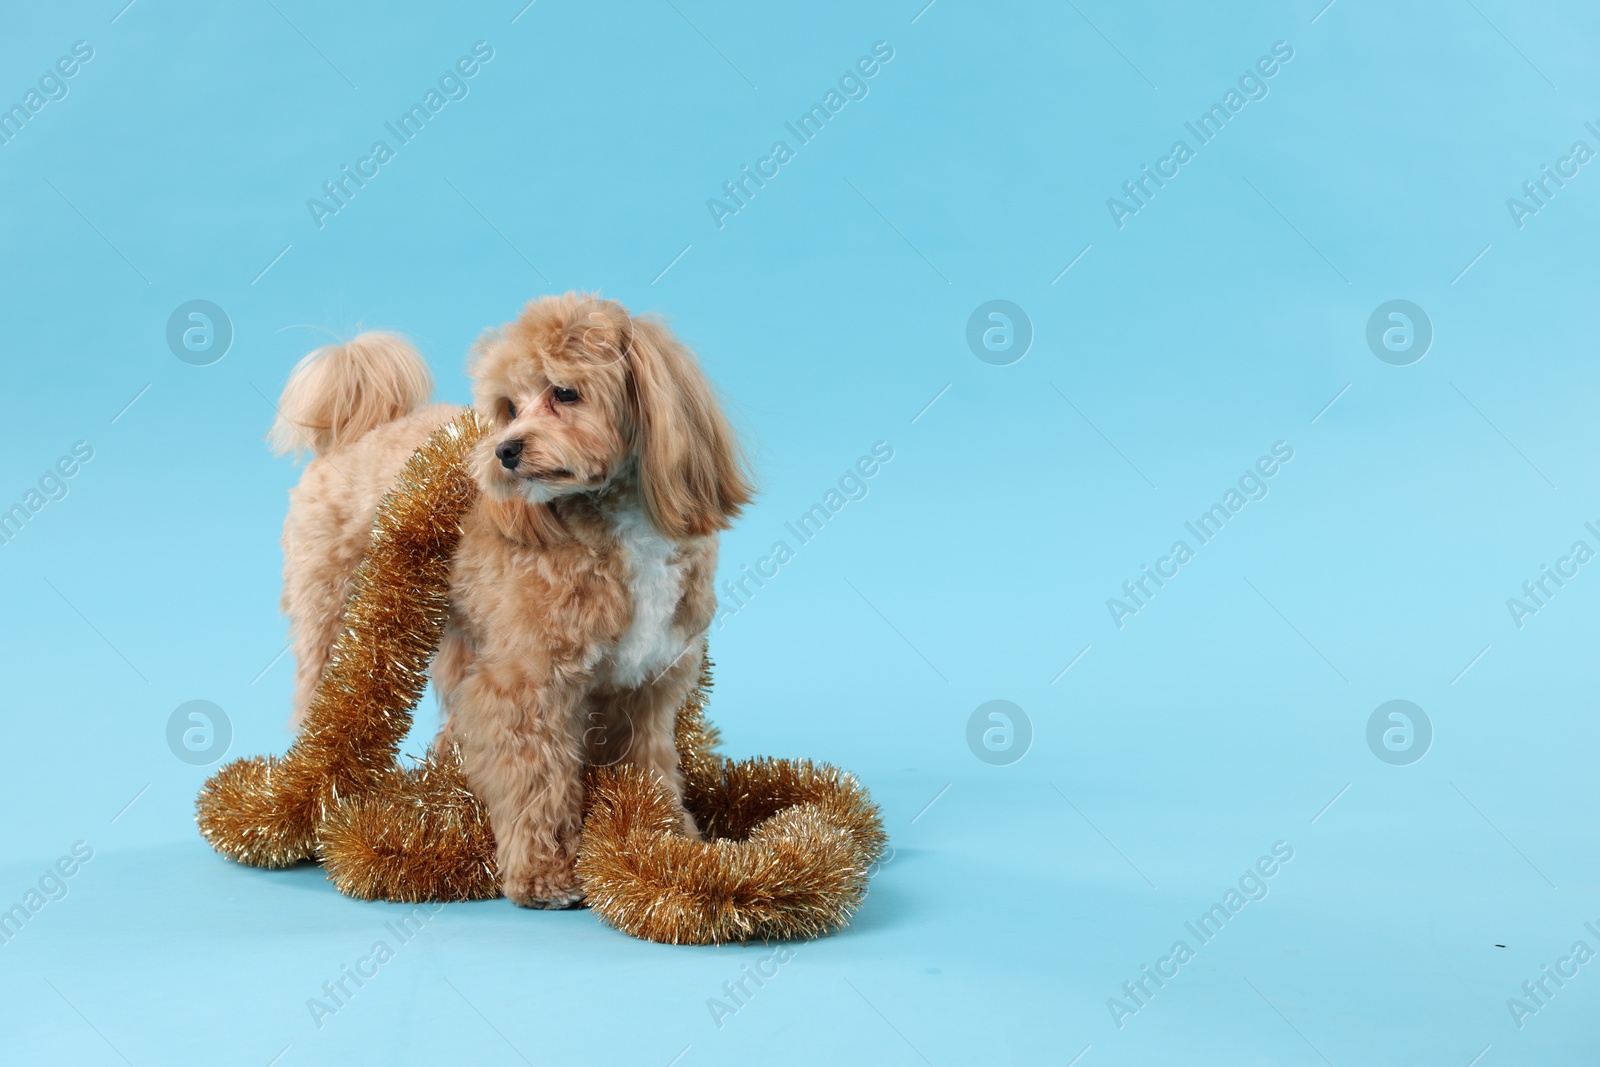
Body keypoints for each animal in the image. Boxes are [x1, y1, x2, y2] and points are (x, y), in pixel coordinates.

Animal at [272, 294, 752, 908]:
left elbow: (649, 769)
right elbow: (536, 782)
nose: (504, 450)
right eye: (509, 407)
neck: (619, 520)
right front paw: (546, 874)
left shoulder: (646, 688)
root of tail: (362, 430)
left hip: (463, 634)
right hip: (334, 610)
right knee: (325, 693)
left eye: (564, 393)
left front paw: (664, 845)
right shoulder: (527, 685)